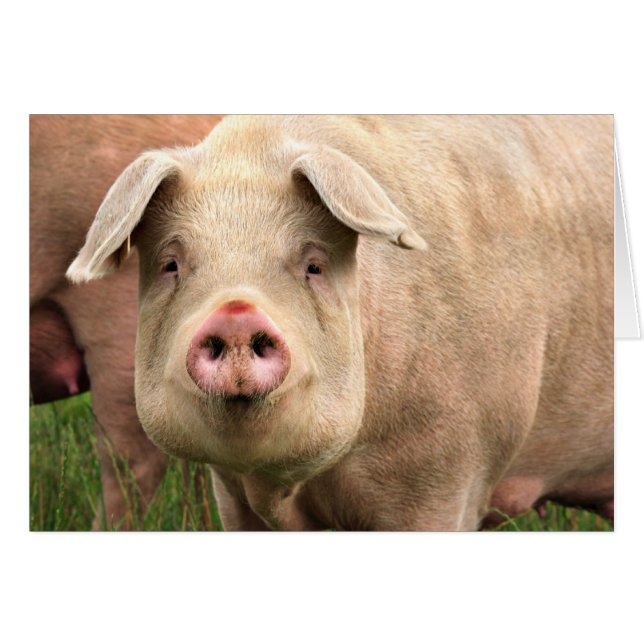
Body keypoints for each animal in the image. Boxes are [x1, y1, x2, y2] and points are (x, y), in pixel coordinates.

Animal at [67, 115, 614, 530]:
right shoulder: (232, 492)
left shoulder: (449, 472)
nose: (237, 310)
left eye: (314, 264)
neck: (294, 486)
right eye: (171, 264)